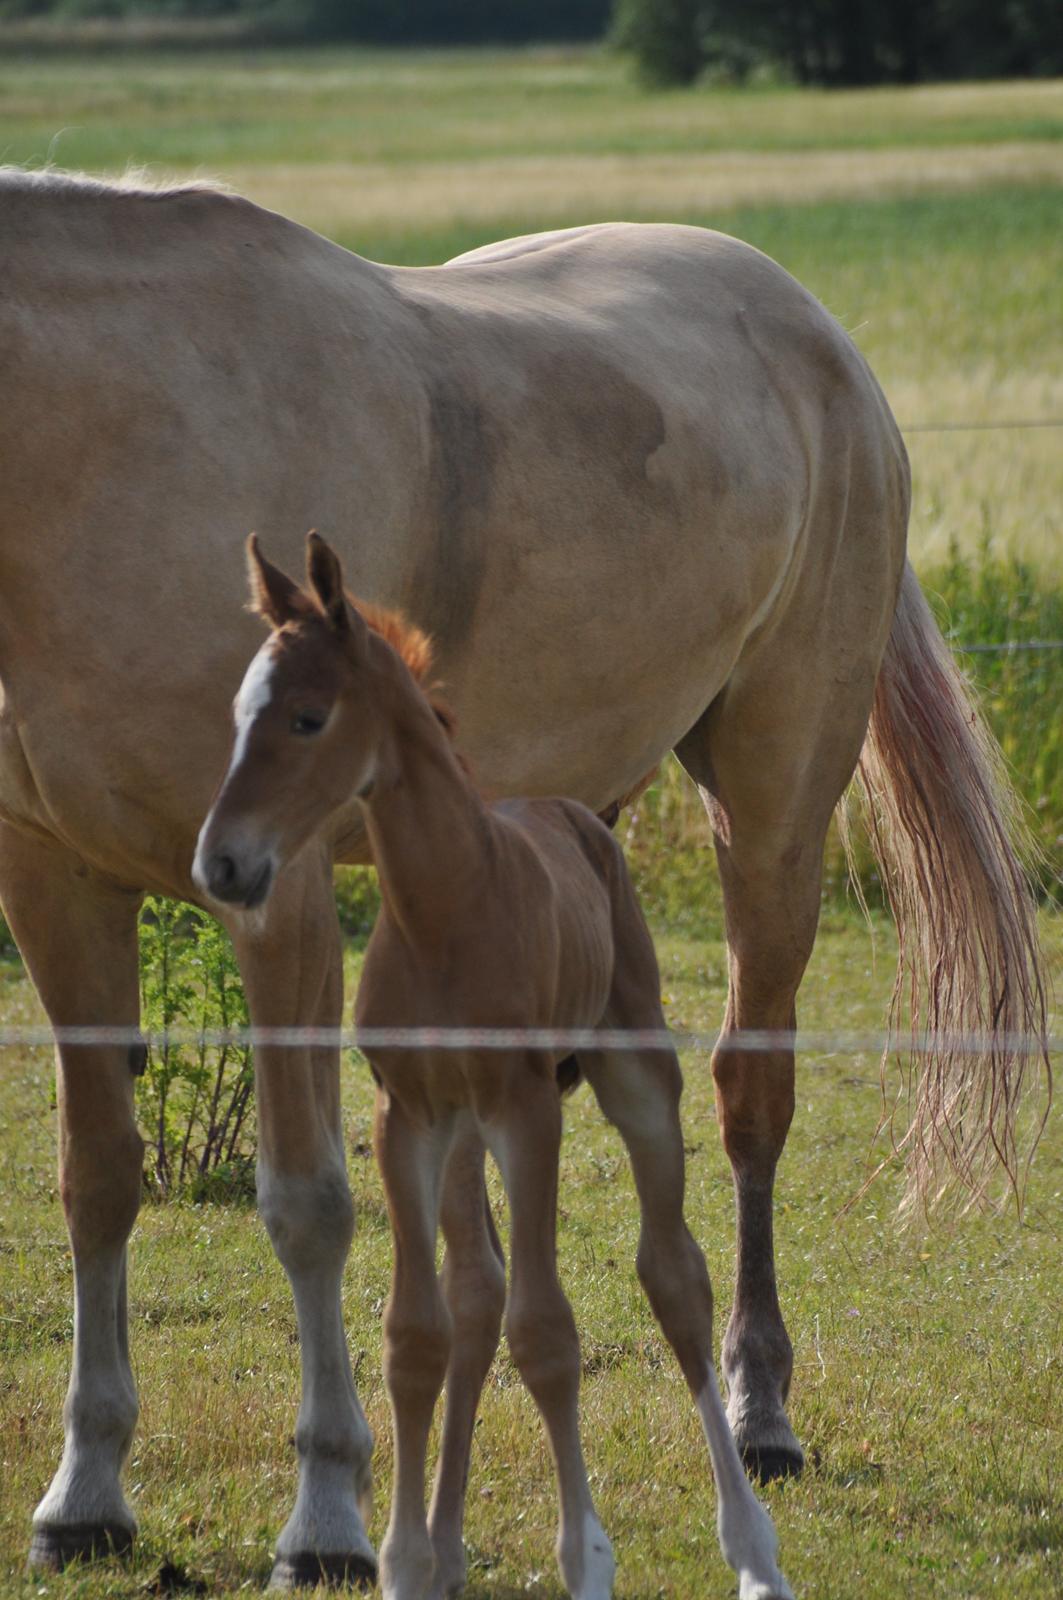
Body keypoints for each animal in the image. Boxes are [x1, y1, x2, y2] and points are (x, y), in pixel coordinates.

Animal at [192, 534, 787, 1600]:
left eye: (307, 717)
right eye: (237, 715)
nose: (221, 864)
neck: (446, 911)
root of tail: (578, 813)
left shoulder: (525, 1110)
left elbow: (547, 1331)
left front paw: (585, 1555)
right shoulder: (407, 1115)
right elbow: (417, 1334)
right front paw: (400, 1559)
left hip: (633, 1080)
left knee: (672, 1277)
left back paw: (753, 1549)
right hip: (464, 1133)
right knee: (476, 1294)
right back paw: (444, 1547)